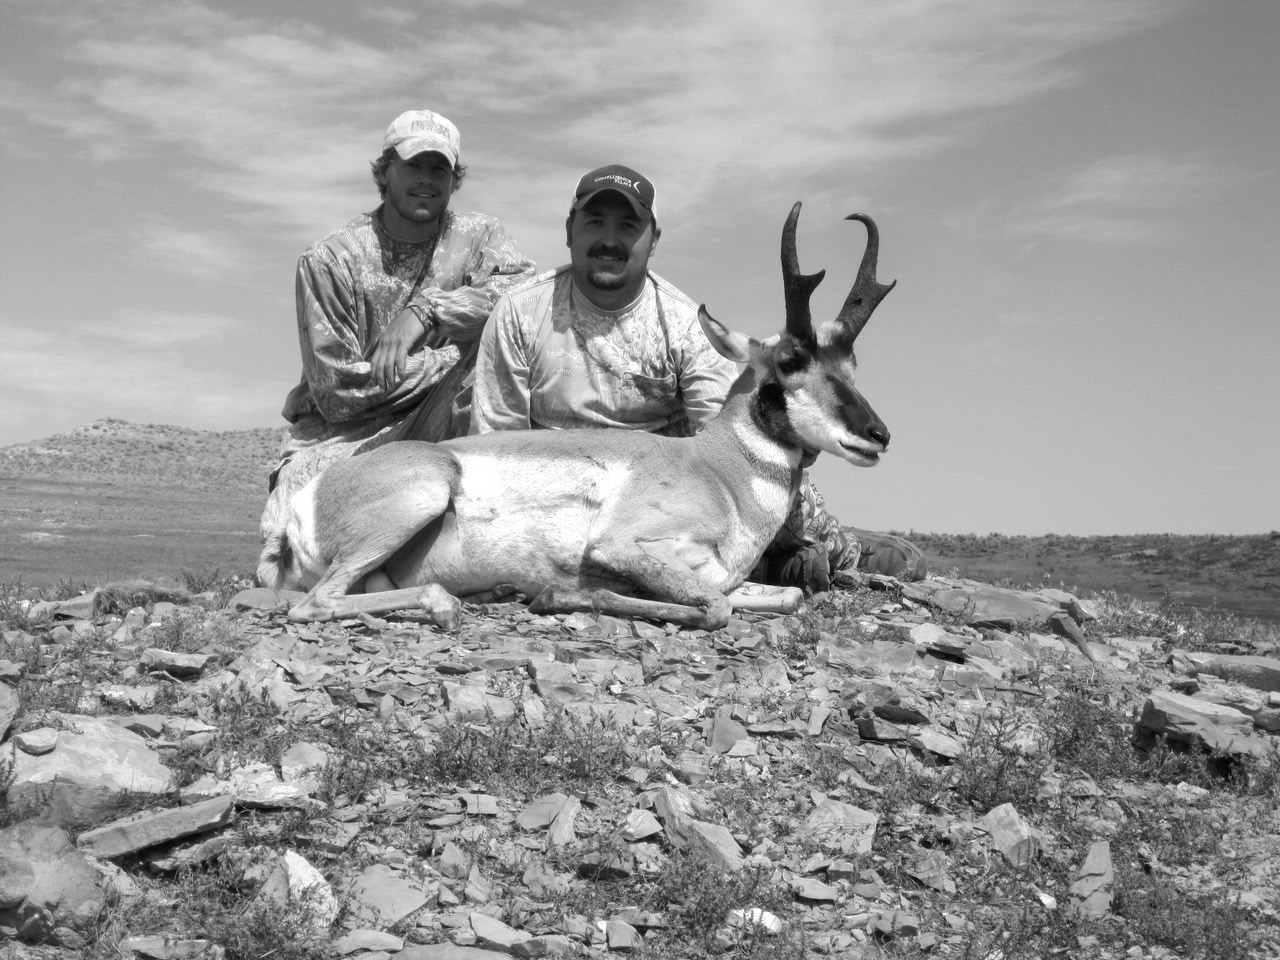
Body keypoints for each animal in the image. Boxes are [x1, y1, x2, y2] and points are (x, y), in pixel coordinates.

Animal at [257, 202, 896, 630]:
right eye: (789, 360)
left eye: (853, 364)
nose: (878, 435)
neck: (719, 470)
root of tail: (307, 498)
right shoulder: (626, 546)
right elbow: (713, 606)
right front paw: (562, 595)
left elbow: (785, 595)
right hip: (424, 493)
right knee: (316, 603)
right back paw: (456, 601)